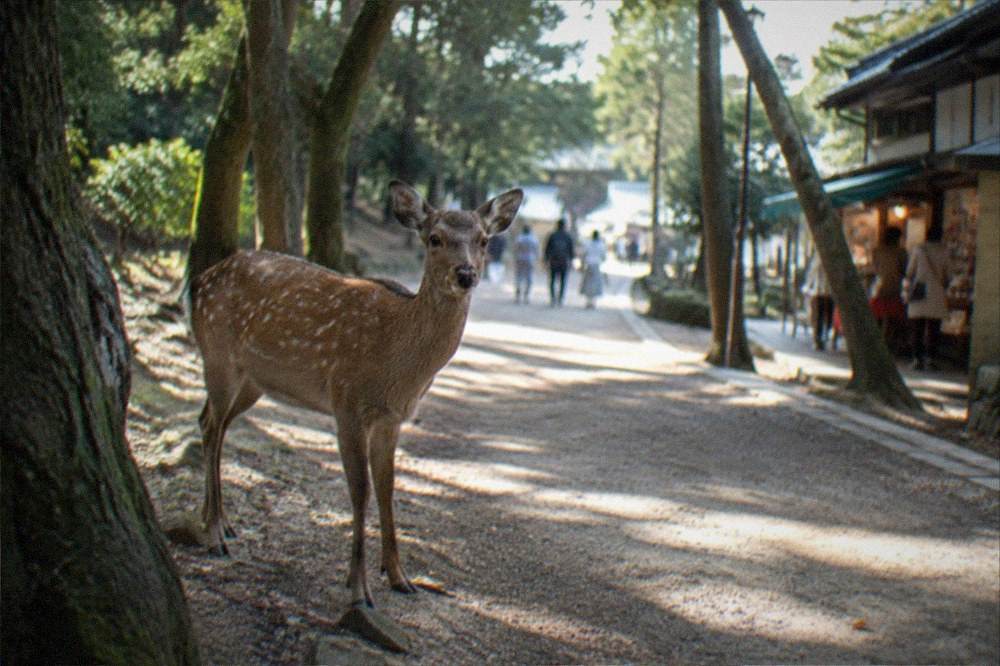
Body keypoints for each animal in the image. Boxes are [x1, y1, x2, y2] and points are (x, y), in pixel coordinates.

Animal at [187, 181, 523, 607]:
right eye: (434, 238)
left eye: (483, 240)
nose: (466, 274)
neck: (398, 366)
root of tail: (198, 281)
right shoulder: (346, 401)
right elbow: (360, 491)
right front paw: (358, 588)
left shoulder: (391, 418)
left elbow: (388, 488)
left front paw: (399, 577)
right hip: (219, 355)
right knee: (212, 428)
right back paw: (215, 533)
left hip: (253, 381)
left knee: (210, 422)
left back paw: (219, 522)